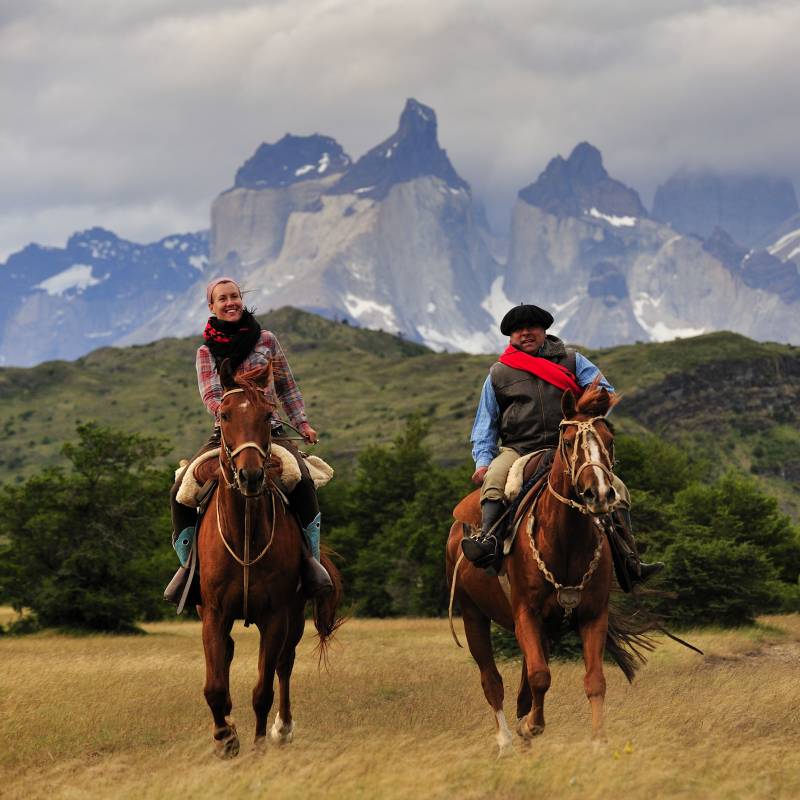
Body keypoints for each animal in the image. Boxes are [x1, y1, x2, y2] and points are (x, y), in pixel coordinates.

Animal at [198, 360, 342, 756]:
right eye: (225, 415)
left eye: (266, 415)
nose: (249, 476)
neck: (245, 534)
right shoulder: (213, 613)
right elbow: (214, 687)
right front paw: (225, 737)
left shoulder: (276, 615)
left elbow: (263, 689)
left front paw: (260, 744)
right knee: (228, 655)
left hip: (294, 616)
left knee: (284, 665)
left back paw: (283, 729)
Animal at [444, 384, 648, 752]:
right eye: (567, 442)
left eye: (609, 440)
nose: (599, 494)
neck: (565, 540)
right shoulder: (526, 613)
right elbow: (540, 676)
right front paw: (530, 727)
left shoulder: (592, 616)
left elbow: (594, 680)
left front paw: (598, 742)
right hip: (472, 614)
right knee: (492, 679)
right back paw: (506, 740)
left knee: (525, 683)